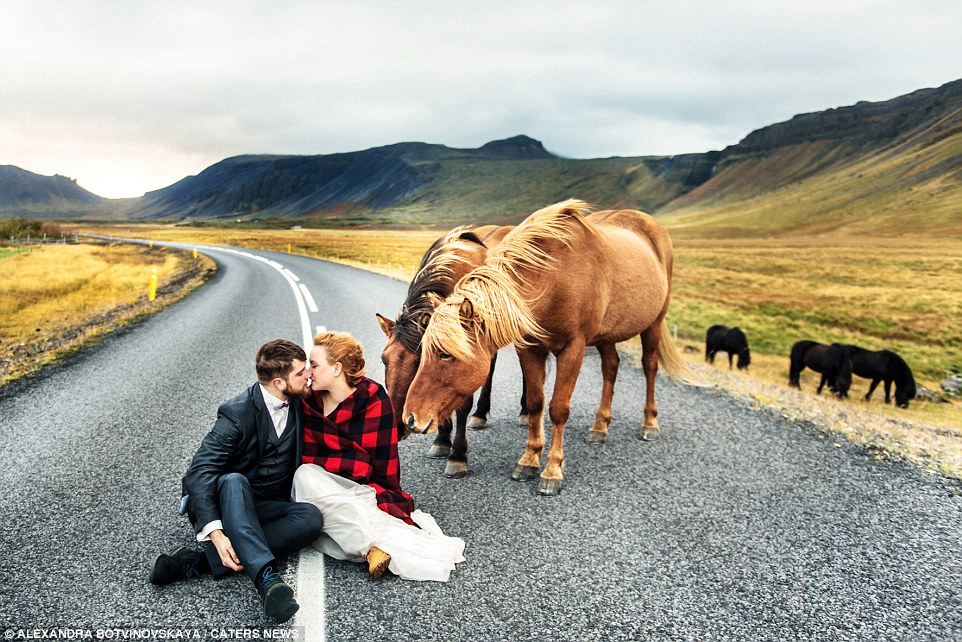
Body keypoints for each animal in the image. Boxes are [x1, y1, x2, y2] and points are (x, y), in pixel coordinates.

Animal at [402, 200, 692, 496]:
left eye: (445, 354)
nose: (410, 418)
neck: (554, 278)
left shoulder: (573, 350)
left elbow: (558, 409)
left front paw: (552, 471)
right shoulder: (530, 349)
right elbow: (535, 404)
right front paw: (529, 460)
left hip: (654, 323)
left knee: (650, 366)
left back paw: (649, 423)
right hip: (607, 336)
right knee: (611, 368)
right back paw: (600, 427)